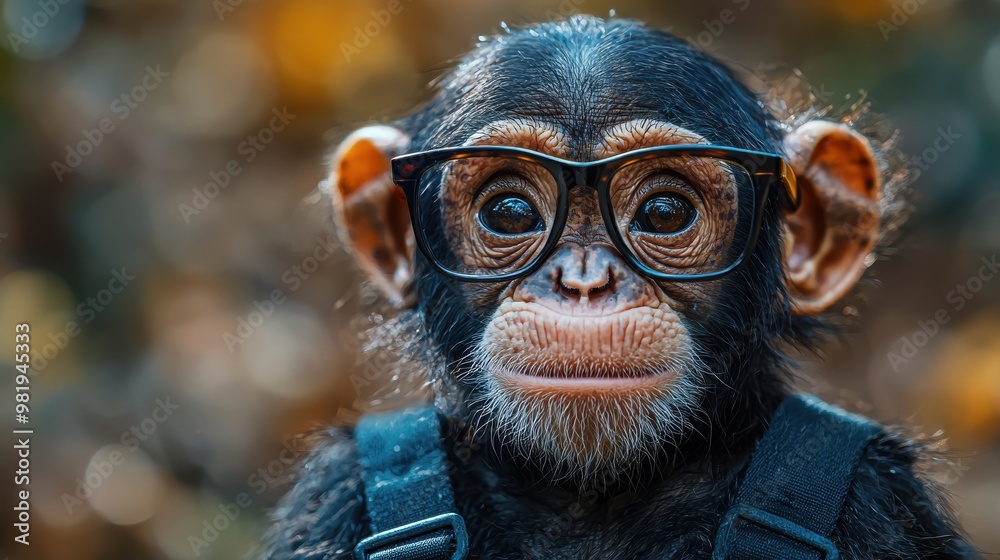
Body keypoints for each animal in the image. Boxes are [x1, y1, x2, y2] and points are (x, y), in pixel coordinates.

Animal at [260, 15, 976, 556]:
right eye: (510, 212)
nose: (584, 281)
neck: (591, 498)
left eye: (664, 213)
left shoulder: (883, 500)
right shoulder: (335, 496)